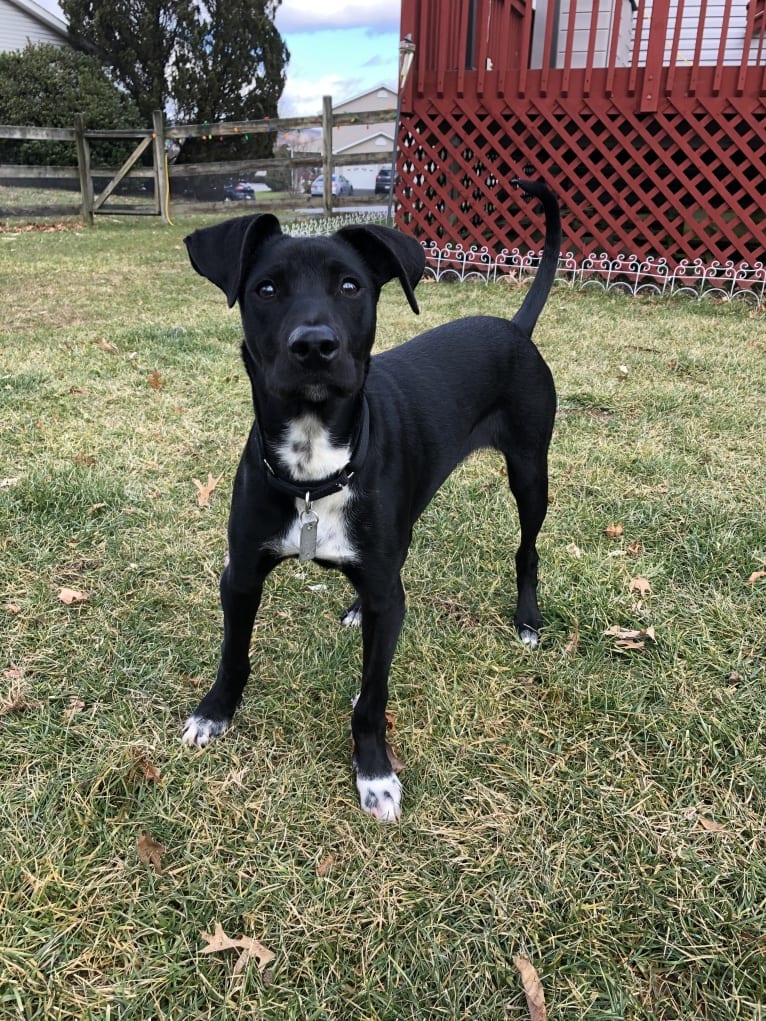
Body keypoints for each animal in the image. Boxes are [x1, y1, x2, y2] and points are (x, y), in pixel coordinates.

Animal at [182, 179, 559, 824]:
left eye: (350, 286)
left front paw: (375, 772)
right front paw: (214, 713)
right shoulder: (242, 574)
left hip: (530, 471)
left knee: (527, 549)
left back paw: (528, 619)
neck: (314, 470)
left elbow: (372, 695)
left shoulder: (388, 600)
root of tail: (514, 328)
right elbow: (234, 653)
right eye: (266, 288)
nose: (314, 346)